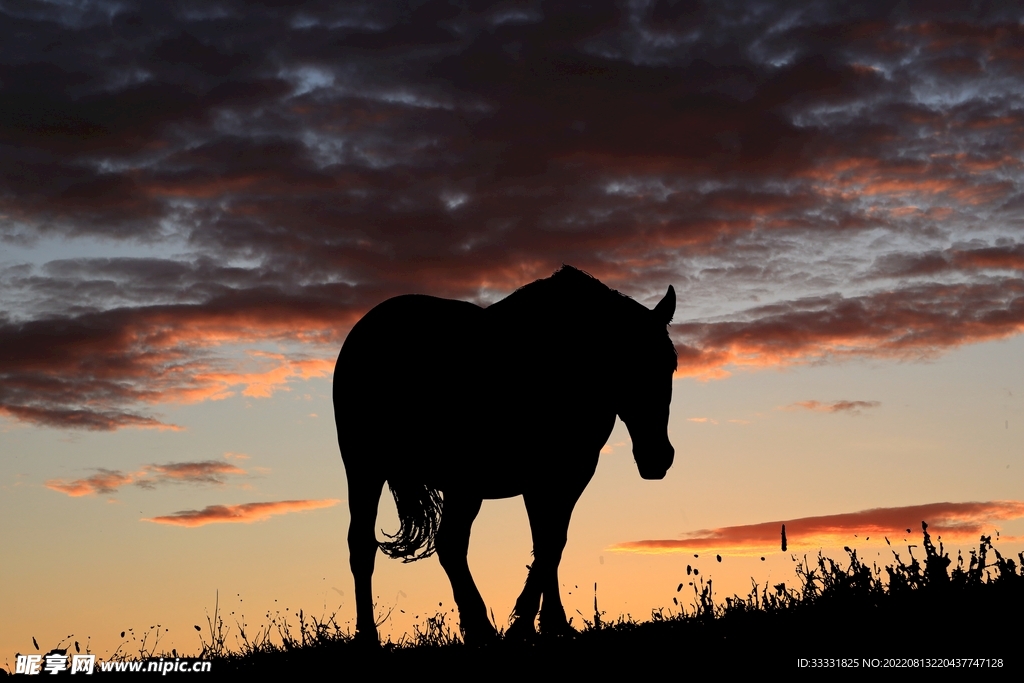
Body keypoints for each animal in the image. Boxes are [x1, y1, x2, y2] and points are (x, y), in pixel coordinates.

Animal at [333, 265, 677, 644]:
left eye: (669, 367)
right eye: (629, 364)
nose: (658, 458)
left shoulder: (559, 478)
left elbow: (548, 543)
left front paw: (553, 623)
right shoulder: (554, 475)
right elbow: (549, 544)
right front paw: (522, 624)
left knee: (393, 545)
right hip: (390, 471)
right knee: (426, 545)